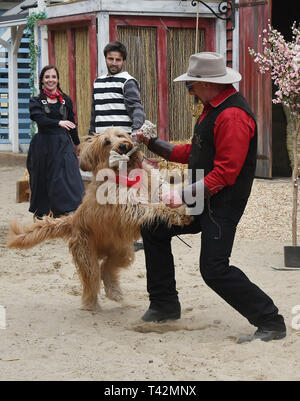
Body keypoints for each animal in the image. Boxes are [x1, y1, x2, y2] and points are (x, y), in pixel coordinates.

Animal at [7, 130, 192, 310]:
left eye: (120, 135)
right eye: (106, 142)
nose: (123, 145)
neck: (126, 171)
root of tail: (72, 220)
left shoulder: (153, 185)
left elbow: (163, 193)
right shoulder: (130, 207)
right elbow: (153, 207)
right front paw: (179, 212)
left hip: (122, 252)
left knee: (106, 269)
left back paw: (115, 293)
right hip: (87, 255)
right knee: (92, 280)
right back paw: (91, 305)